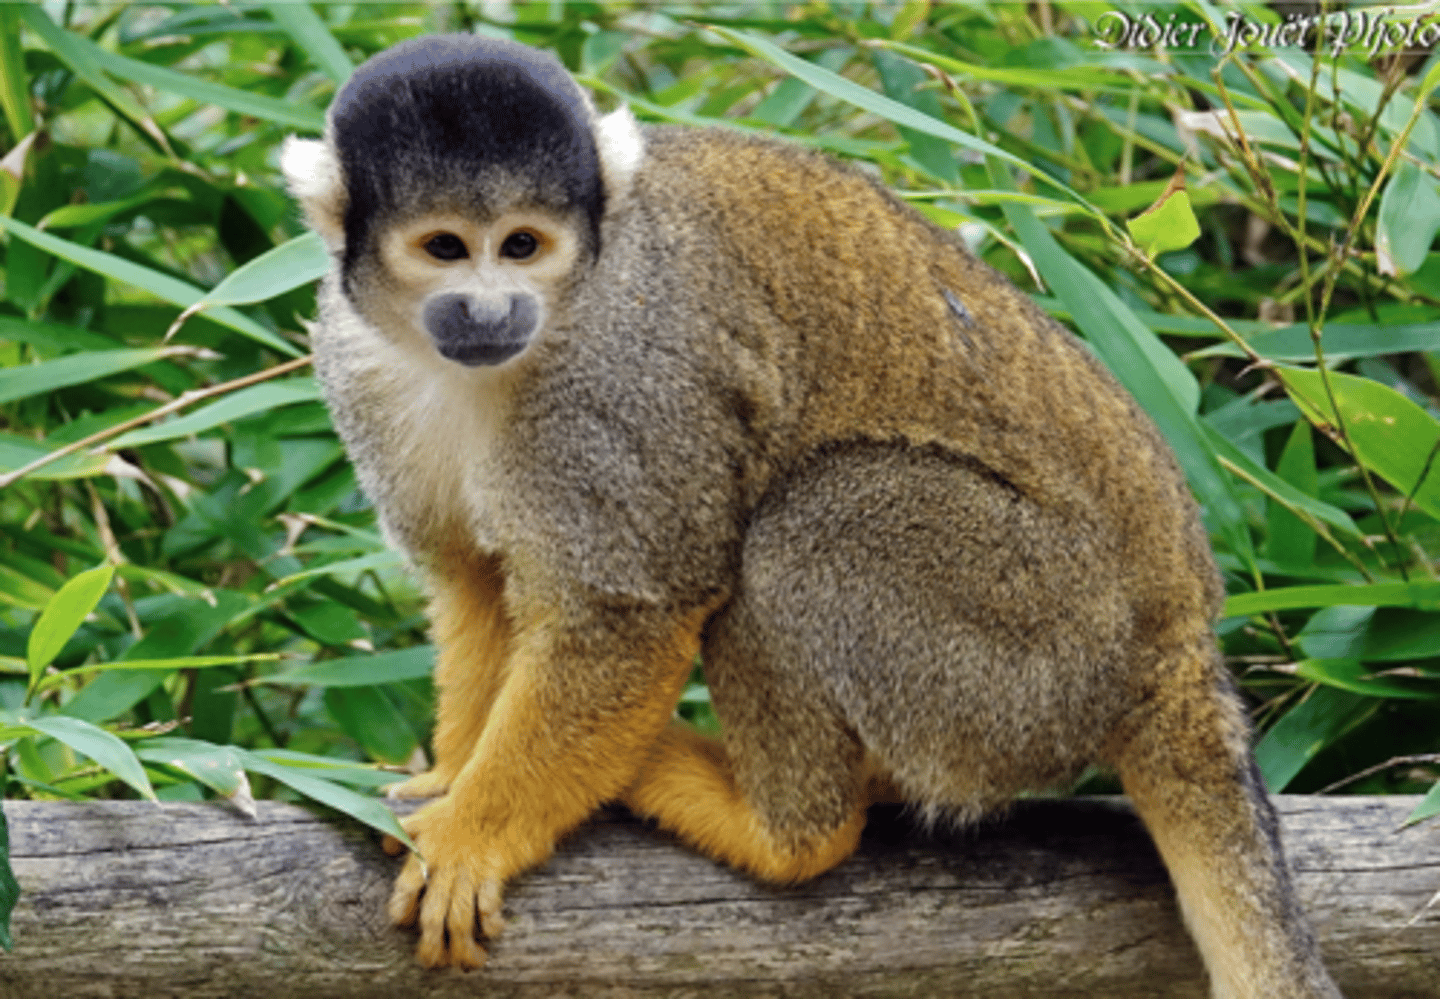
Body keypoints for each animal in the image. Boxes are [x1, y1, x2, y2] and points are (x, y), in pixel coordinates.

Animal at [281, 34, 1342, 997]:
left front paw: (473, 834)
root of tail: (1181, 641)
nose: (492, 310)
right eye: (446, 249)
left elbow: (628, 612)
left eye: (524, 247)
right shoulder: (355, 359)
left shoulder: (623, 376)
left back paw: (785, 831)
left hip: (1038, 654)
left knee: (804, 526)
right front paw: (452, 775)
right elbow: (474, 581)